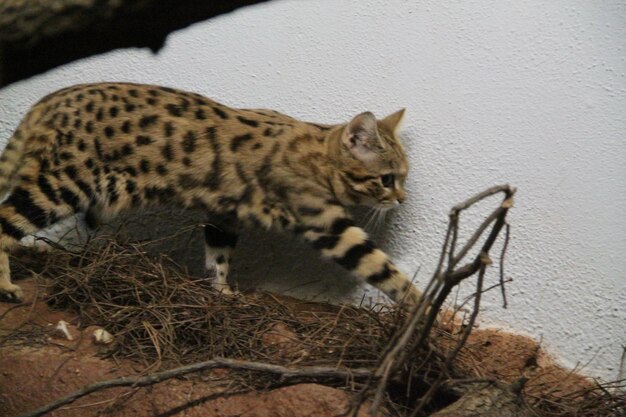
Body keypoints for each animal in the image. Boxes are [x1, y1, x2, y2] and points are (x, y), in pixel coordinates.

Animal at [0, 83, 422, 306]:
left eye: (402, 178)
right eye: (387, 179)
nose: (401, 199)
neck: (320, 153)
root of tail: (51, 98)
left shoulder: (224, 215)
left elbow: (218, 258)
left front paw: (223, 292)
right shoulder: (327, 223)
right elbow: (384, 270)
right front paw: (423, 308)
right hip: (60, 185)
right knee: (4, 223)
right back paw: (6, 286)